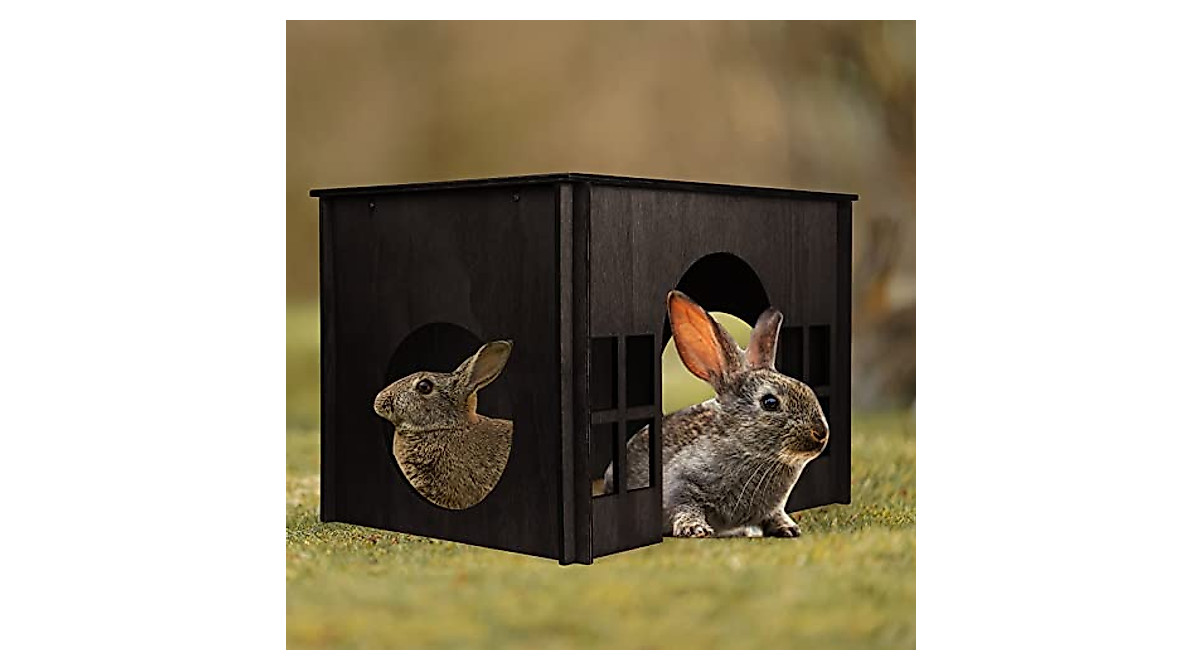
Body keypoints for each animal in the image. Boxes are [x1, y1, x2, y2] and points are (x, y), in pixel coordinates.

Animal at [606, 291, 829, 538]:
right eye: (770, 403)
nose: (821, 432)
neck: (746, 449)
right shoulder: (680, 483)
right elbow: (685, 505)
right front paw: (695, 528)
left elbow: (774, 514)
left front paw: (788, 528)